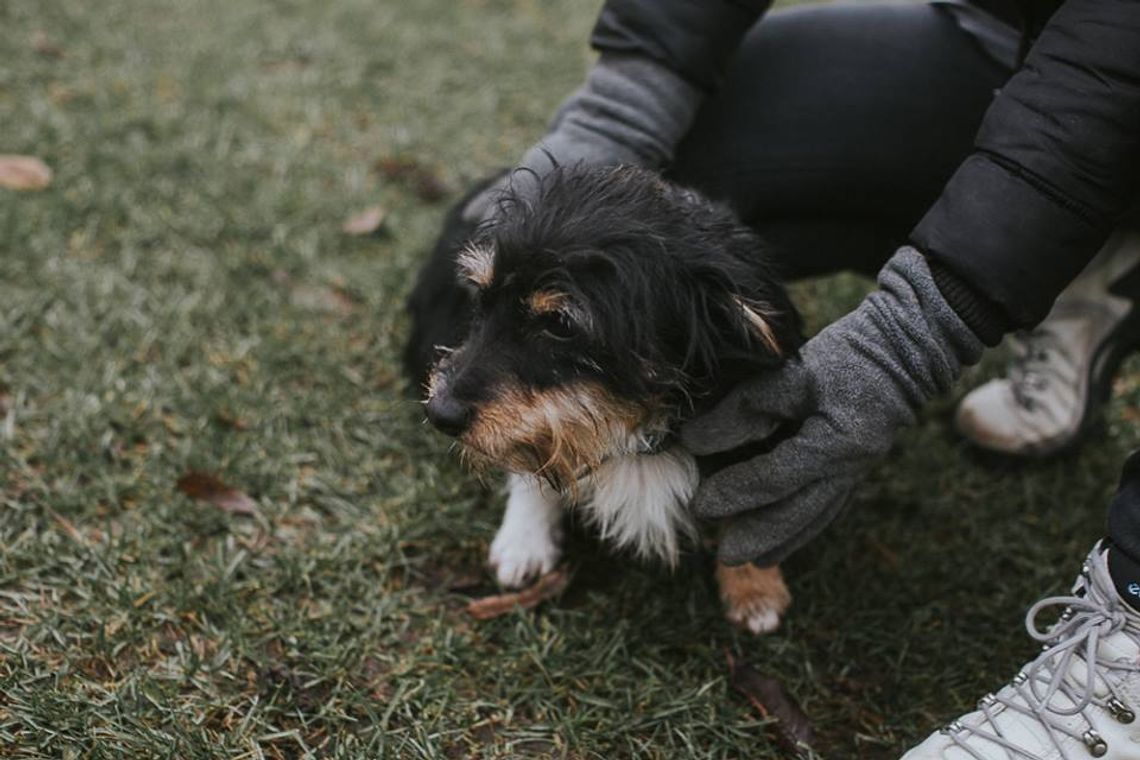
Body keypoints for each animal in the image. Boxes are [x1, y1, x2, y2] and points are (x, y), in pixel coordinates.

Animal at [401, 166, 802, 638]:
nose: (438, 413)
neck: (634, 420)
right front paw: (525, 536)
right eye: (480, 297)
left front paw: (754, 586)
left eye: (559, 323)